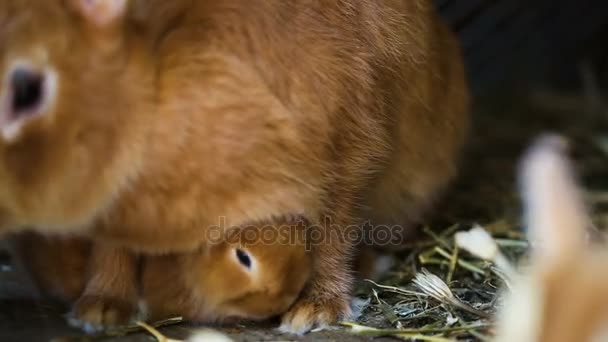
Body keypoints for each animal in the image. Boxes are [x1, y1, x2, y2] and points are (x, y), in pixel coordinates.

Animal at [0, 0, 468, 332]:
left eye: (25, 90)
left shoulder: (348, 138)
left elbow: (334, 227)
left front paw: (317, 310)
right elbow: (112, 244)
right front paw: (101, 308)